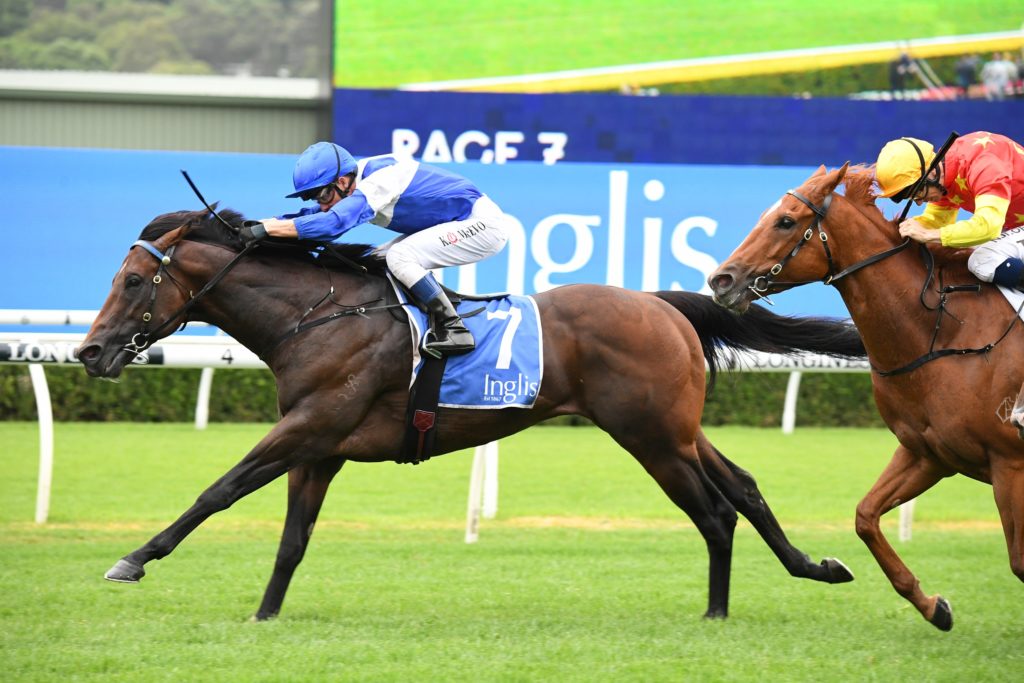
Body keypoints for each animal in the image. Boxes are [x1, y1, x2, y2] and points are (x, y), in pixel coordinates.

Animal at [77, 208, 866, 622]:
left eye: (134, 280)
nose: (89, 350)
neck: (319, 315)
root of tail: (661, 304)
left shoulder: (310, 425)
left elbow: (220, 490)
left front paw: (133, 559)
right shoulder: (319, 447)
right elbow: (292, 539)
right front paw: (266, 615)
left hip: (650, 437)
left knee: (714, 510)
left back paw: (716, 611)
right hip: (675, 428)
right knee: (744, 487)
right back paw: (815, 568)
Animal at [707, 163, 1024, 631]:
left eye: (785, 221)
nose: (721, 279)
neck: (948, 333)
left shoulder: (1009, 463)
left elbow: (1019, 562)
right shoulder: (929, 453)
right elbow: (865, 518)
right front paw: (934, 607)